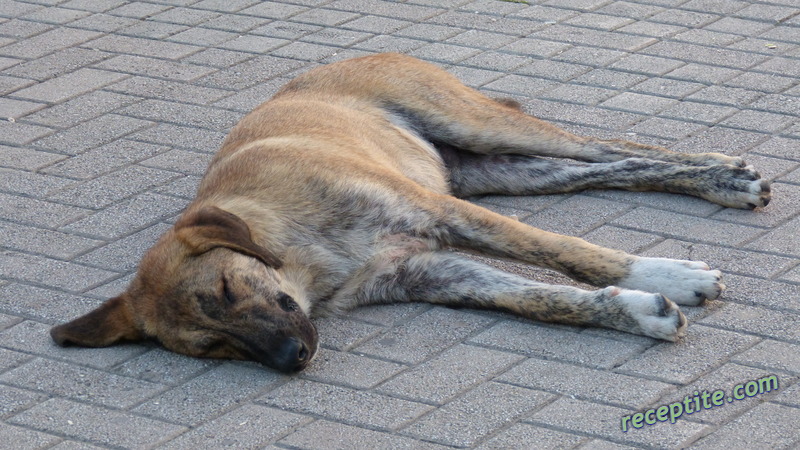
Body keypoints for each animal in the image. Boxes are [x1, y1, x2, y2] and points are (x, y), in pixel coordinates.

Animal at [48, 52, 768, 372]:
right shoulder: (433, 272)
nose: (292, 357)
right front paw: (638, 310)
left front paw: (663, 275)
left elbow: (565, 253)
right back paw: (719, 181)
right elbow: (542, 298)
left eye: (227, 286)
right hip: (500, 171)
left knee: (619, 147)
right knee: (607, 168)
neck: (302, 258)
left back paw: (722, 173)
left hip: (480, 128)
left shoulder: (441, 212)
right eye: (210, 346)